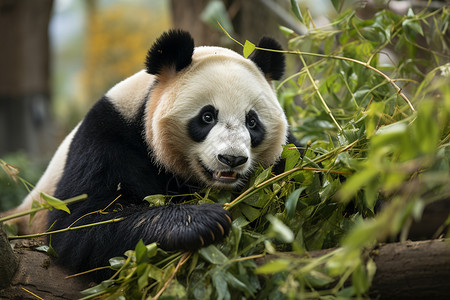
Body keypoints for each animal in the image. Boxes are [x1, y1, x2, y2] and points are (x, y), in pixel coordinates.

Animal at [7, 29, 296, 276]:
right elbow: (83, 220)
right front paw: (202, 220)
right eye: (207, 116)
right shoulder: (107, 135)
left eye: (252, 122)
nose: (232, 159)